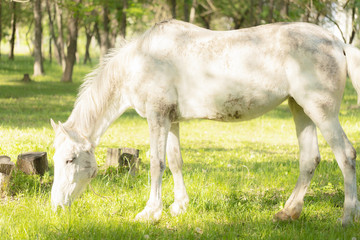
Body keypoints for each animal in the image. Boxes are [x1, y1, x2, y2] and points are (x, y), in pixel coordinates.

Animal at [50, 19, 360, 226]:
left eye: (69, 159)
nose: (56, 207)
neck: (142, 60)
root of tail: (337, 43)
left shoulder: (157, 116)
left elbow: (156, 163)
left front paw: (150, 212)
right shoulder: (170, 120)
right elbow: (175, 161)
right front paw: (178, 207)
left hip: (321, 111)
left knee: (345, 154)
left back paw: (346, 217)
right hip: (300, 109)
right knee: (309, 159)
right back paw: (288, 212)